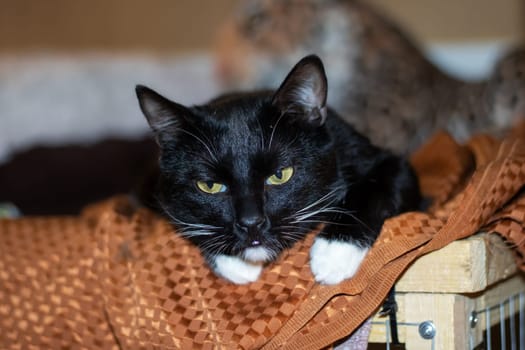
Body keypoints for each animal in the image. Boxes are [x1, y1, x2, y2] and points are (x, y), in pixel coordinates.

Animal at [136, 54, 422, 284]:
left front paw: (333, 253)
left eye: (279, 175)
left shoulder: (379, 159)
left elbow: (379, 185)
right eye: (209, 186)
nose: (251, 223)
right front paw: (236, 264)